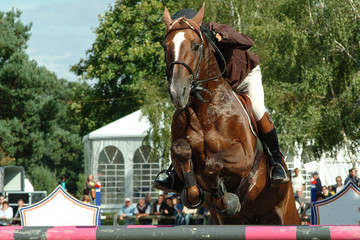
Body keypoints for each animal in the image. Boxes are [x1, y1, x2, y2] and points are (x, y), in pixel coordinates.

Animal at [162, 3, 300, 225]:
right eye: (166, 47)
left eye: (195, 46)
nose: (177, 92)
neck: (204, 110)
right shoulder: (179, 153)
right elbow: (181, 150)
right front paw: (197, 194)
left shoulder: (243, 157)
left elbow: (212, 163)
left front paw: (224, 196)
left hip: (287, 215)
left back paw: (278, 171)